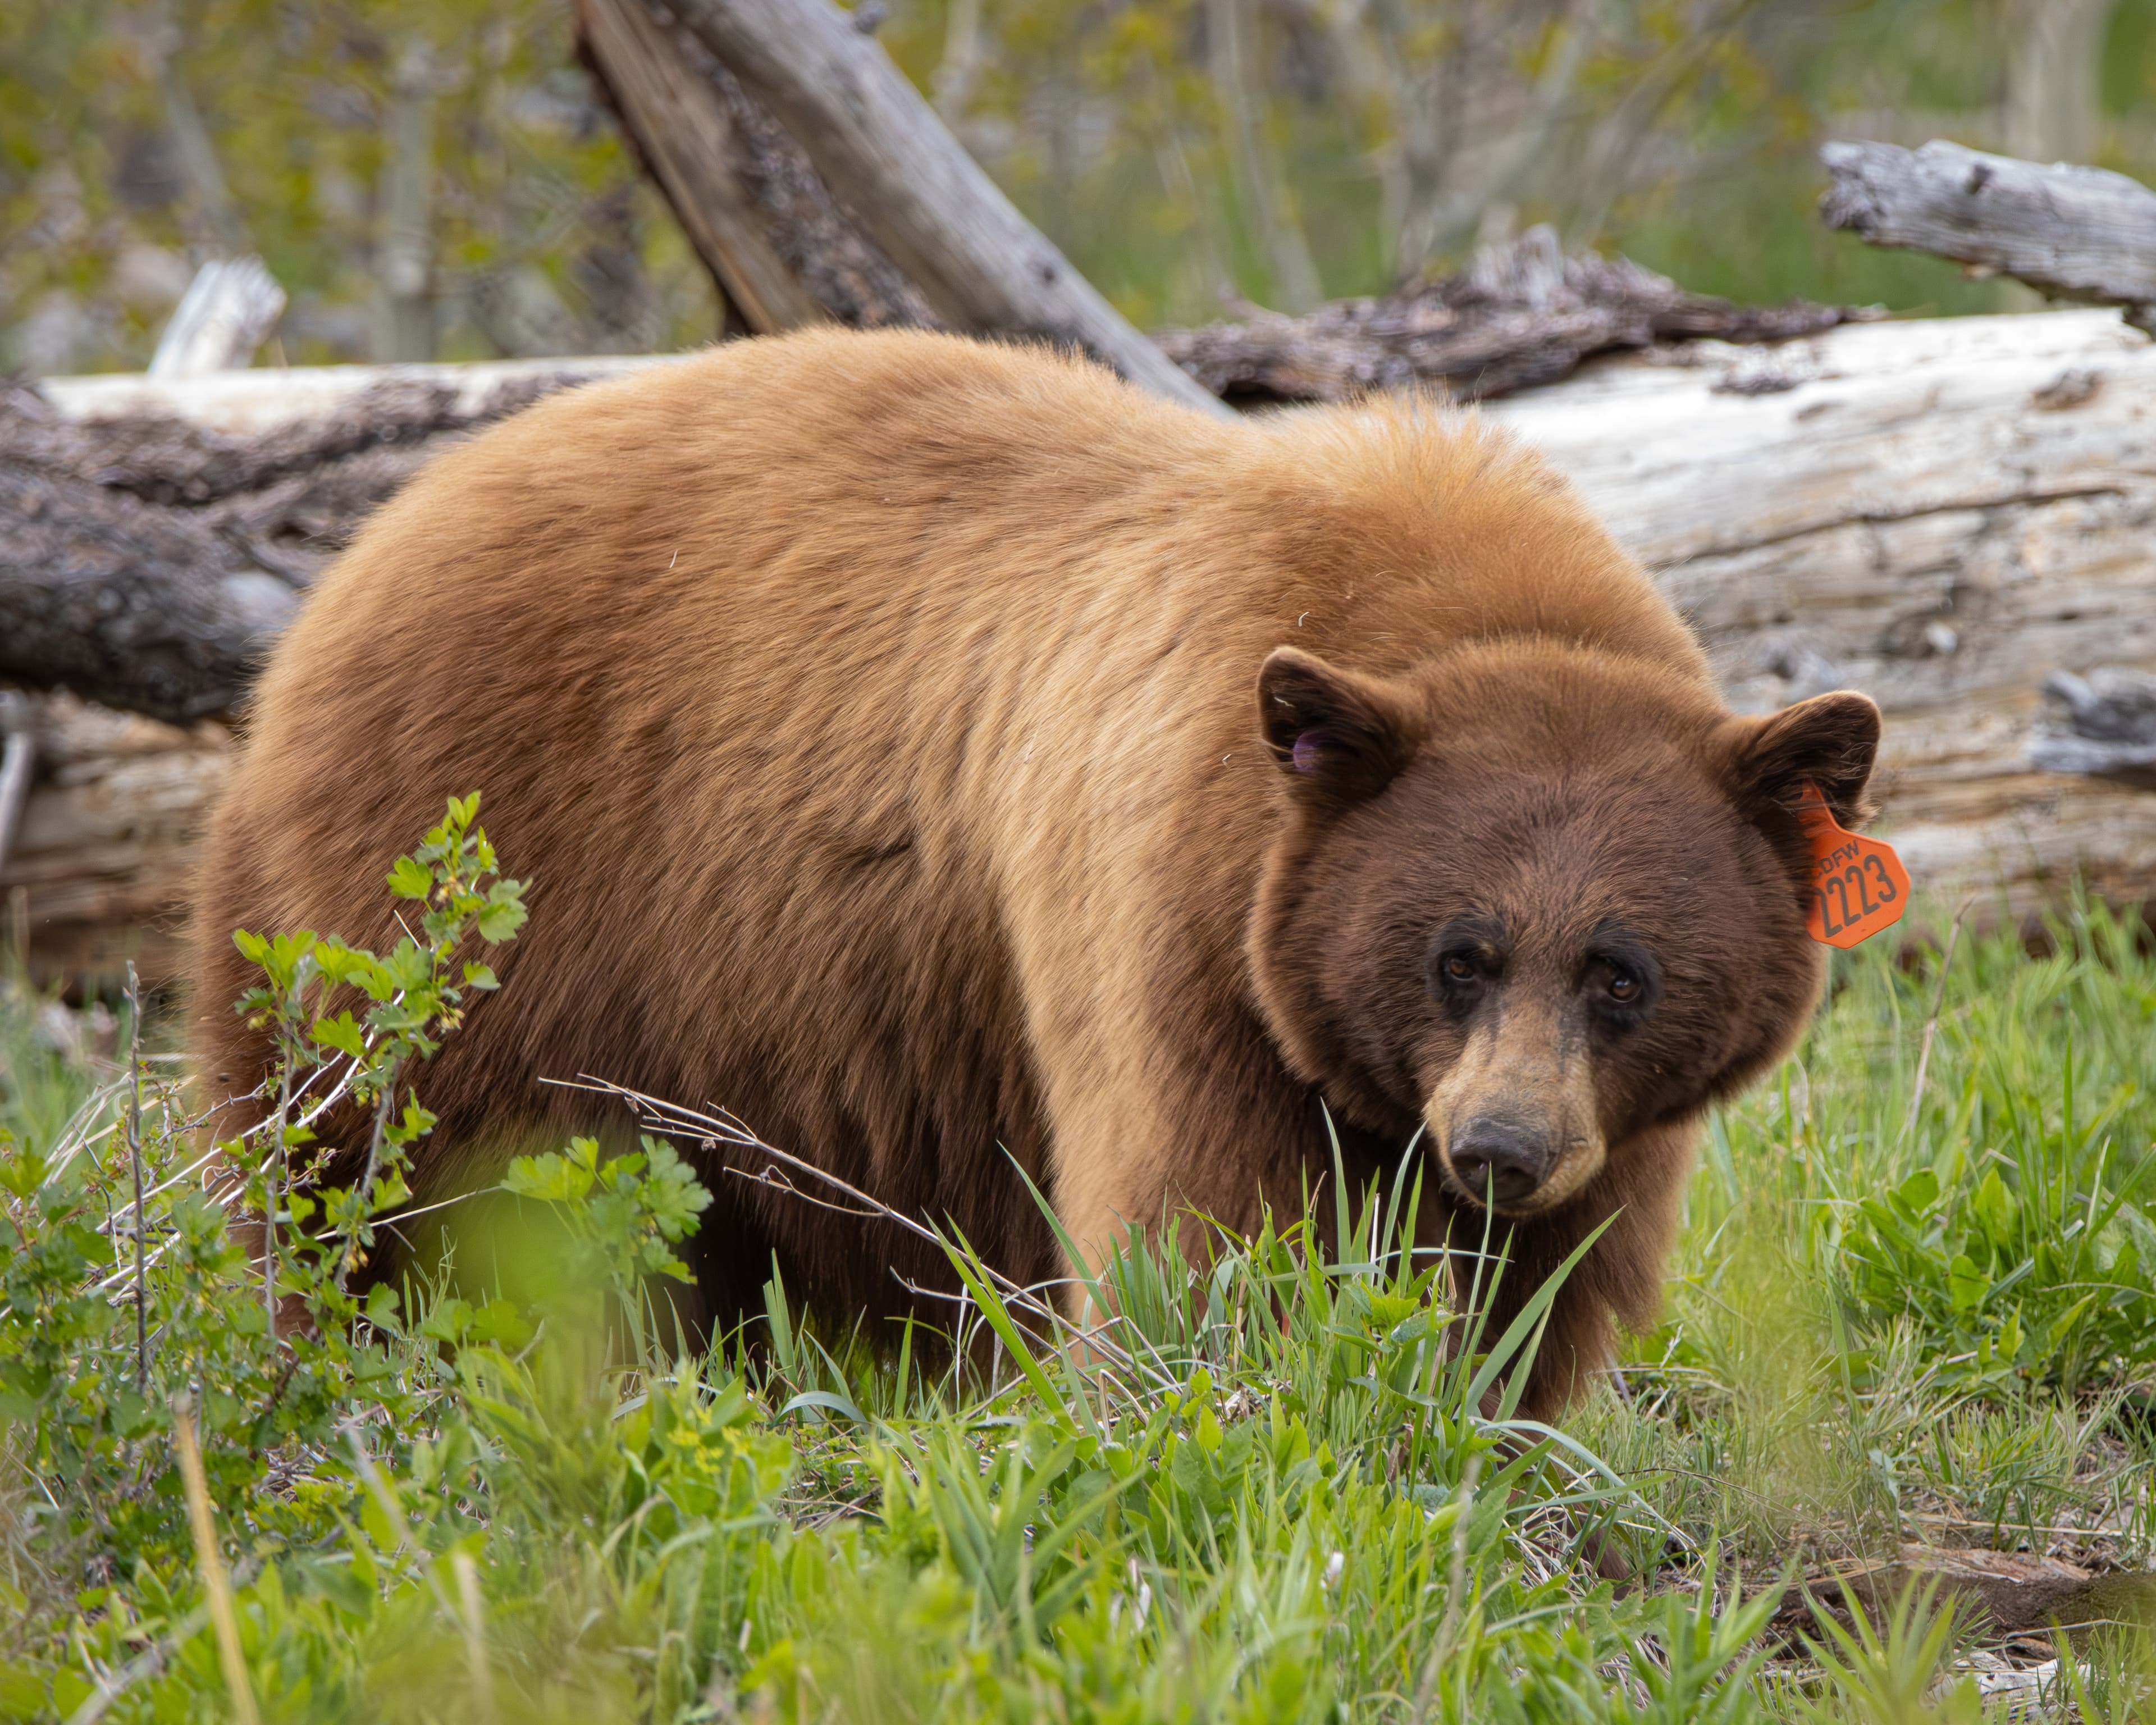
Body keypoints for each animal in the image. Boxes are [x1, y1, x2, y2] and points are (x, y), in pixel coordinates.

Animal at [187, 328, 1880, 1420]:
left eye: (1621, 968)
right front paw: (1252, 1398)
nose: (1500, 1145)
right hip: (444, 905)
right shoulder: (1177, 915)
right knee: (372, 1172)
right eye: (1456, 951)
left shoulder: (1603, 1117)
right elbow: (1209, 1234)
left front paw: (1483, 1403)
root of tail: (352, 560)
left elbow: (1541, 1285)